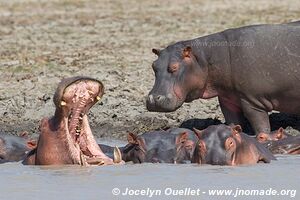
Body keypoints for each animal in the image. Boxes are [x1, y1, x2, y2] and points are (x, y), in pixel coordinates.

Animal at [146, 21, 300, 134]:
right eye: (154, 65)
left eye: (174, 67)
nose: (153, 98)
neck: (204, 59)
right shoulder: (228, 98)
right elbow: (233, 121)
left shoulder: (253, 101)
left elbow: (261, 125)